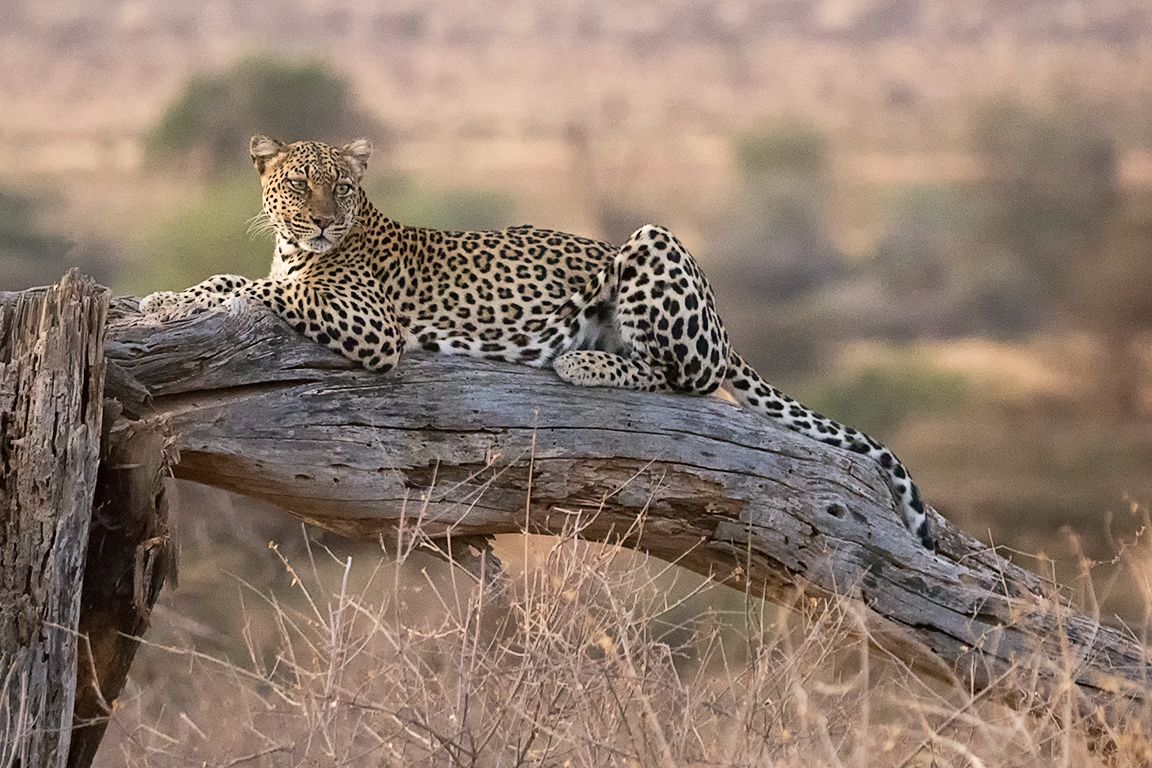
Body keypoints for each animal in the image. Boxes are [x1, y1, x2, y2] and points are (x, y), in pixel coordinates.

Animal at [140, 135, 936, 549]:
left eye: (340, 187)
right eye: (298, 183)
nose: (321, 223)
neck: (297, 247)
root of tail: (724, 326)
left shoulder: (370, 325)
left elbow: (264, 288)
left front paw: (179, 296)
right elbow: (238, 281)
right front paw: (166, 298)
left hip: (650, 242)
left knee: (684, 378)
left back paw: (583, 359)